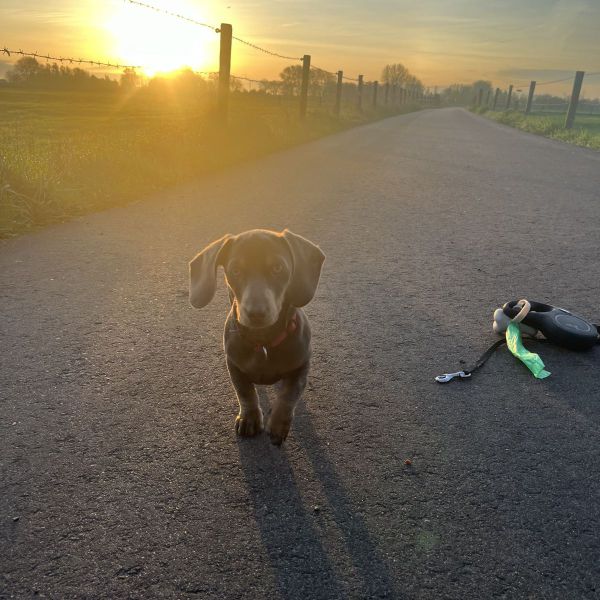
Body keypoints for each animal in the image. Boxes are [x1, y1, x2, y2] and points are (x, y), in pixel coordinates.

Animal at [190, 230, 326, 446]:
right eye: (235, 270)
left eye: (278, 268)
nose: (256, 313)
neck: (264, 341)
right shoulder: (233, 364)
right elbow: (245, 393)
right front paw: (249, 419)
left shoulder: (302, 365)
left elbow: (289, 395)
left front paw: (278, 425)